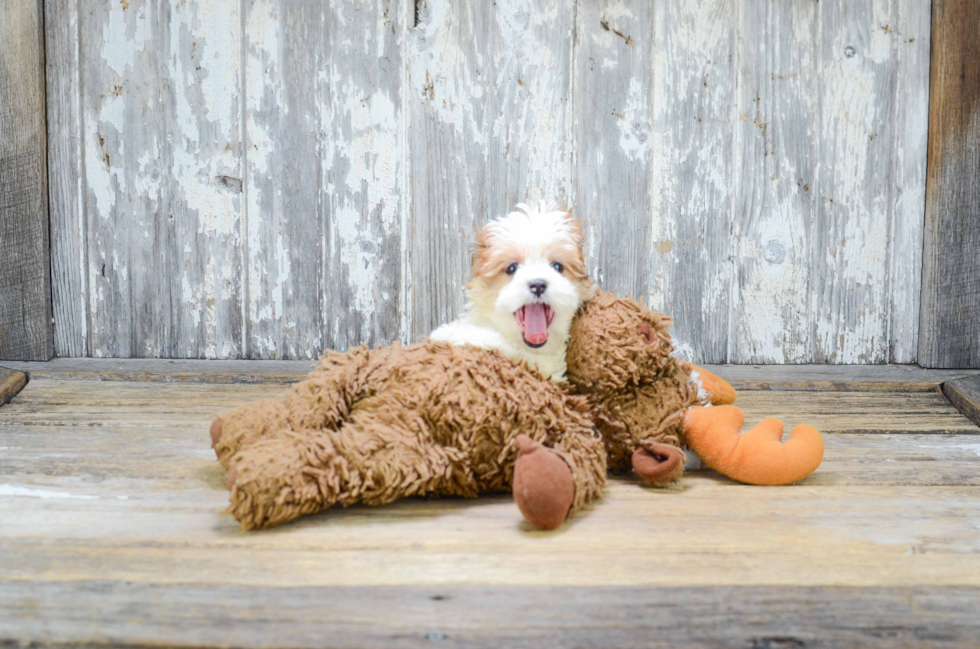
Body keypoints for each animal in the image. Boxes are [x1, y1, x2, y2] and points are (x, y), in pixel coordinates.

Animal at [430, 200, 596, 378]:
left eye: (557, 267)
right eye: (512, 268)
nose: (538, 285)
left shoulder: (543, 366)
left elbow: (505, 343)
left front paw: (451, 332)